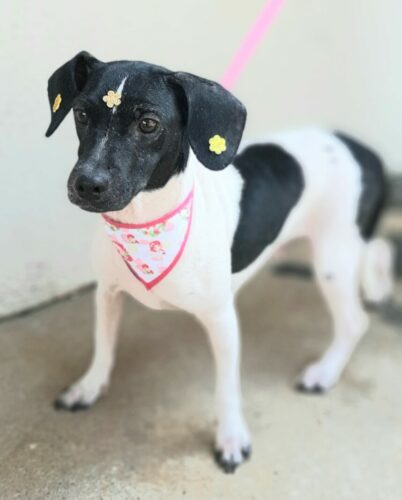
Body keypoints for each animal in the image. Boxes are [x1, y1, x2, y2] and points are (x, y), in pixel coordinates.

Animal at [46, 51, 394, 473]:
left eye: (148, 124)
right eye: (81, 113)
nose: (86, 184)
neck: (147, 222)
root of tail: (362, 149)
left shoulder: (222, 319)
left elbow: (227, 388)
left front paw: (231, 438)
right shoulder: (107, 293)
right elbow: (103, 345)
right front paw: (89, 387)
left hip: (333, 259)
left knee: (354, 321)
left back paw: (324, 371)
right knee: (378, 251)